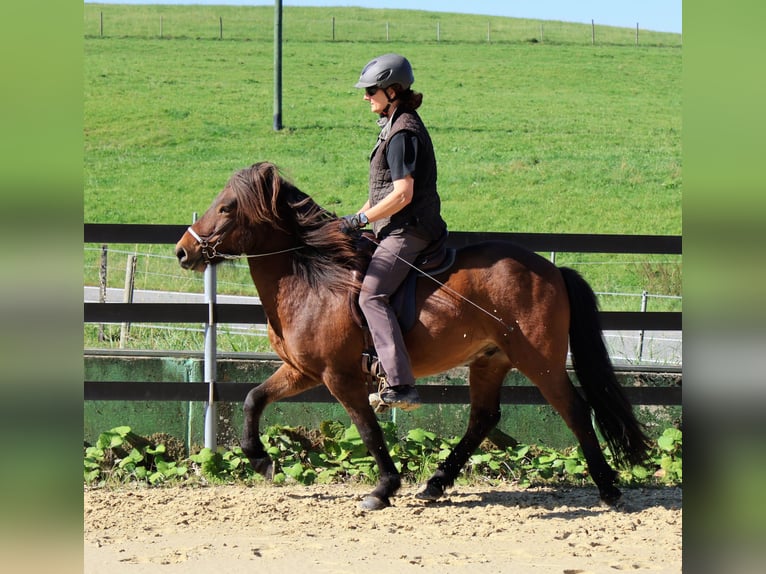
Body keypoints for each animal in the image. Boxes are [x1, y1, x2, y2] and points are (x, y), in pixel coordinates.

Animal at [177, 162, 652, 512]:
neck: (312, 278)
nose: (183, 251)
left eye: (226, 208)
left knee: (575, 410)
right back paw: (436, 484)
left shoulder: (339, 377)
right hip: (489, 360)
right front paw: (260, 459)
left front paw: (384, 488)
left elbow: (368, 429)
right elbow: (253, 398)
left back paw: (609, 488)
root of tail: (552, 269)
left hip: (539, 360)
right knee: (483, 419)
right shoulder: (302, 371)